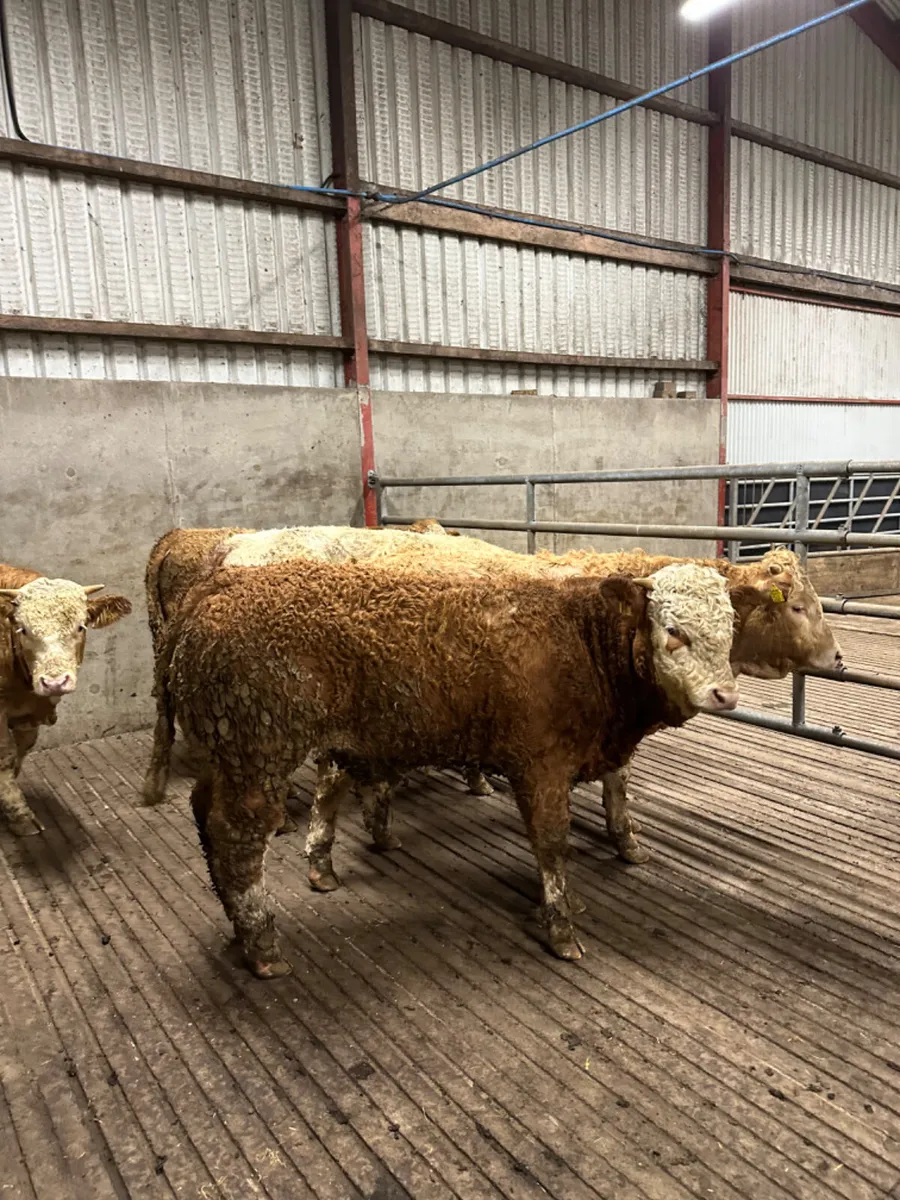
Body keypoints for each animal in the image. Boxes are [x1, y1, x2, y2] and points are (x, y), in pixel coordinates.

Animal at [0, 565, 132, 835]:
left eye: (81, 627)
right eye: (23, 629)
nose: (54, 682)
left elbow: (21, 749)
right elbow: (5, 756)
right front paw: (19, 815)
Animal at [166, 557, 747, 977]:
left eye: (730, 631)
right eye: (674, 631)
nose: (725, 694)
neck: (581, 644)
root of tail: (216, 586)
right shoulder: (539, 764)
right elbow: (551, 844)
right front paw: (561, 928)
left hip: (233, 751)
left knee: (215, 812)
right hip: (257, 750)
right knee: (238, 838)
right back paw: (262, 945)